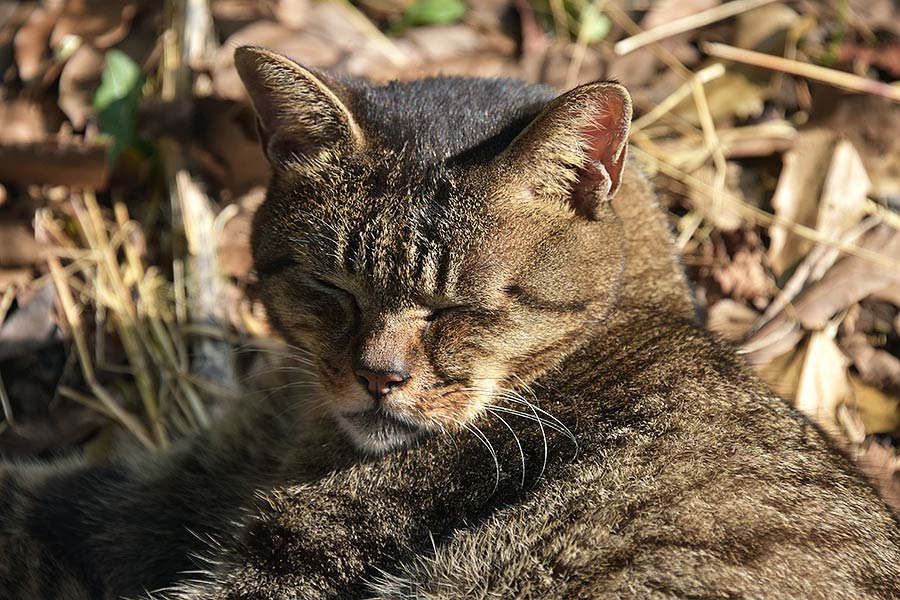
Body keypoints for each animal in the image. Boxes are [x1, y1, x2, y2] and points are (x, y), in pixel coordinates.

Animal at [1, 47, 900, 600]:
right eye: (331, 287)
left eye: (459, 309)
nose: (378, 376)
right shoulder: (174, 484)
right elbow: (35, 497)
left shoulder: (285, 559)